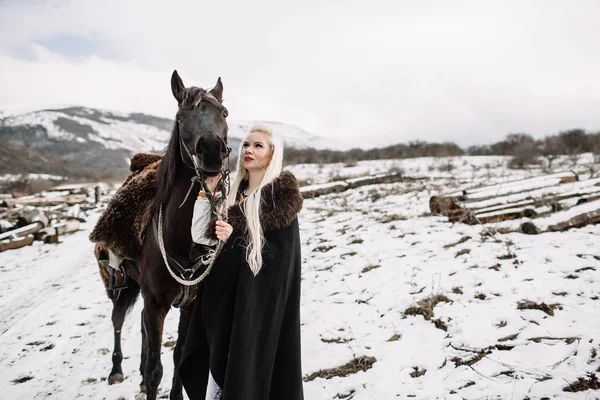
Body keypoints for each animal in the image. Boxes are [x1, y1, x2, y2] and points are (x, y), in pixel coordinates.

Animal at [98, 71, 230, 400]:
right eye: (180, 116)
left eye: (224, 112)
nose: (212, 151)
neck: (181, 242)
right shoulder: (155, 304)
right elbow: (155, 369)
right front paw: (147, 379)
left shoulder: (189, 304)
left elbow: (178, 356)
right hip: (121, 287)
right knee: (117, 320)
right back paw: (116, 370)